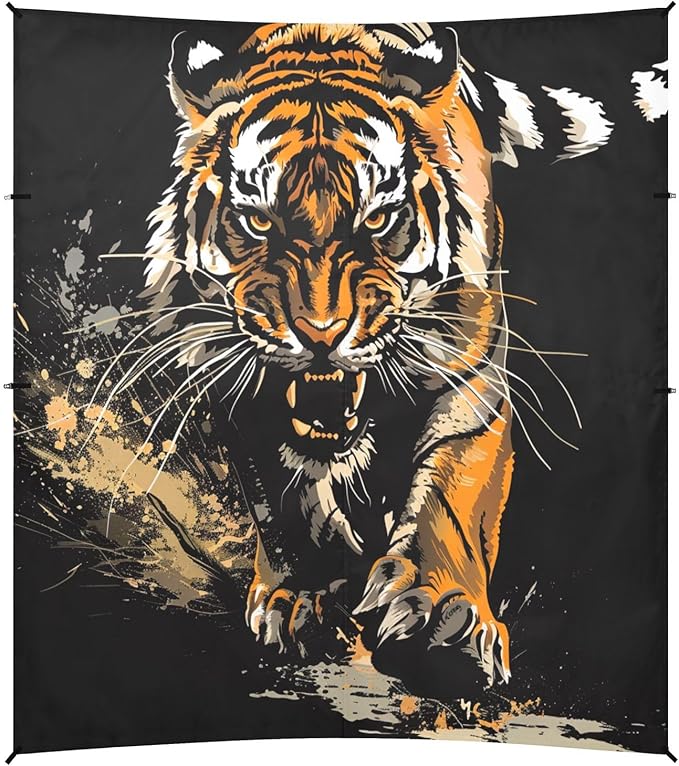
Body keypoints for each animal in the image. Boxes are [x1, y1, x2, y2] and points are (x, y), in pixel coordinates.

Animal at [137, 21, 629, 688]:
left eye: (377, 219)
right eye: (259, 221)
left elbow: (449, 498)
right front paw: (302, 595)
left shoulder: (470, 378)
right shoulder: (233, 391)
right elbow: (281, 500)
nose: (320, 332)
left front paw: (442, 614)